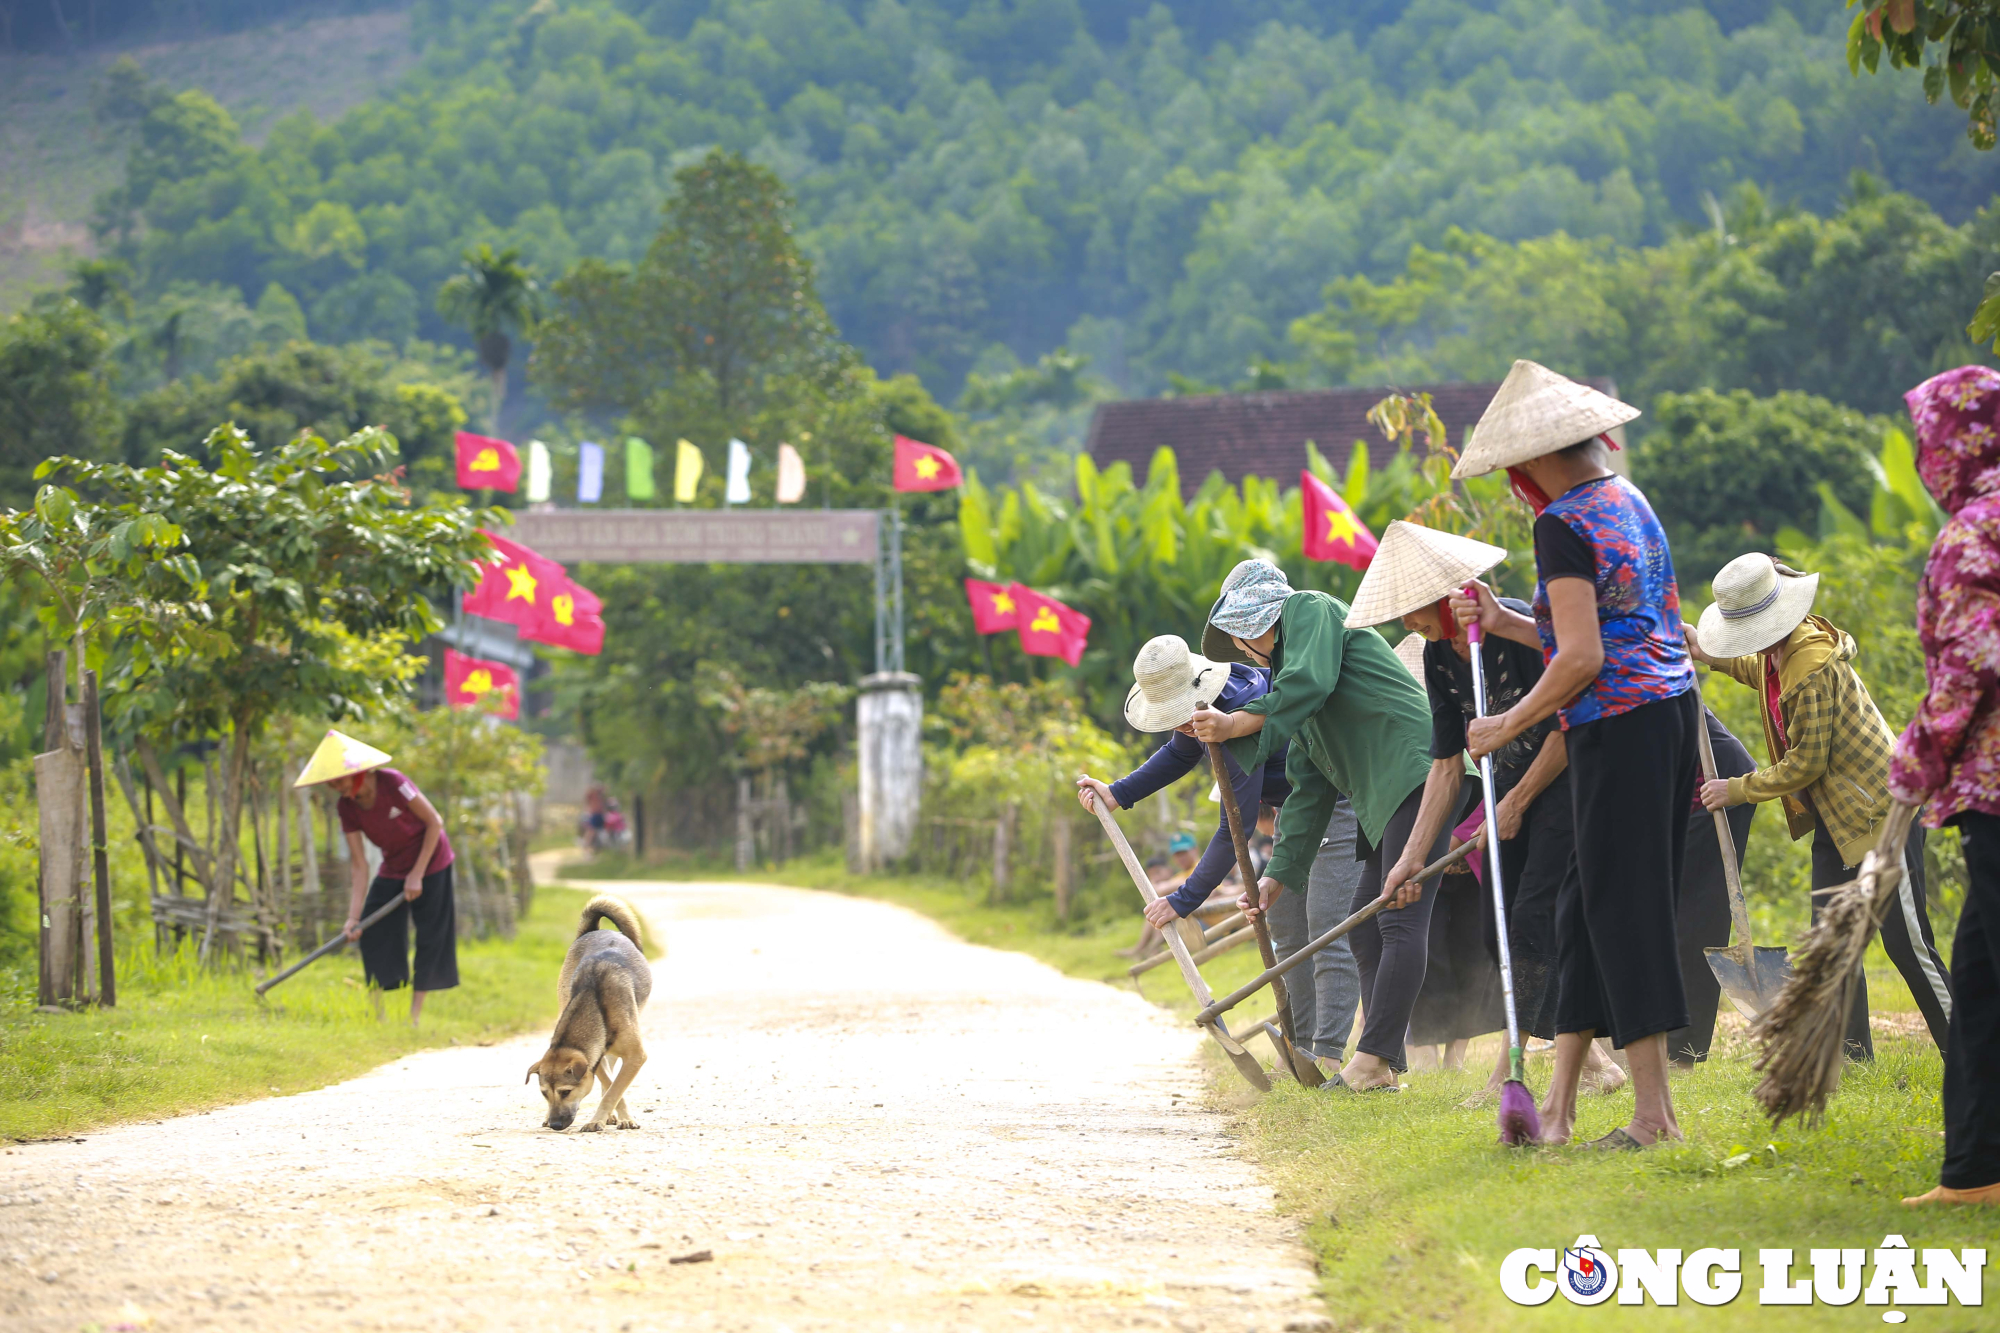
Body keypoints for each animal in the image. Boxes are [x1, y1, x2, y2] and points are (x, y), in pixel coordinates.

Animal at [528, 888, 652, 1128]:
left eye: (566, 1092)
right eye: (544, 1093)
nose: (556, 1125)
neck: (595, 1002)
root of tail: (594, 930)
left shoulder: (635, 1056)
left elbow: (614, 1090)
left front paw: (609, 1119)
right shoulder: (594, 1057)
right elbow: (612, 1086)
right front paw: (611, 1116)